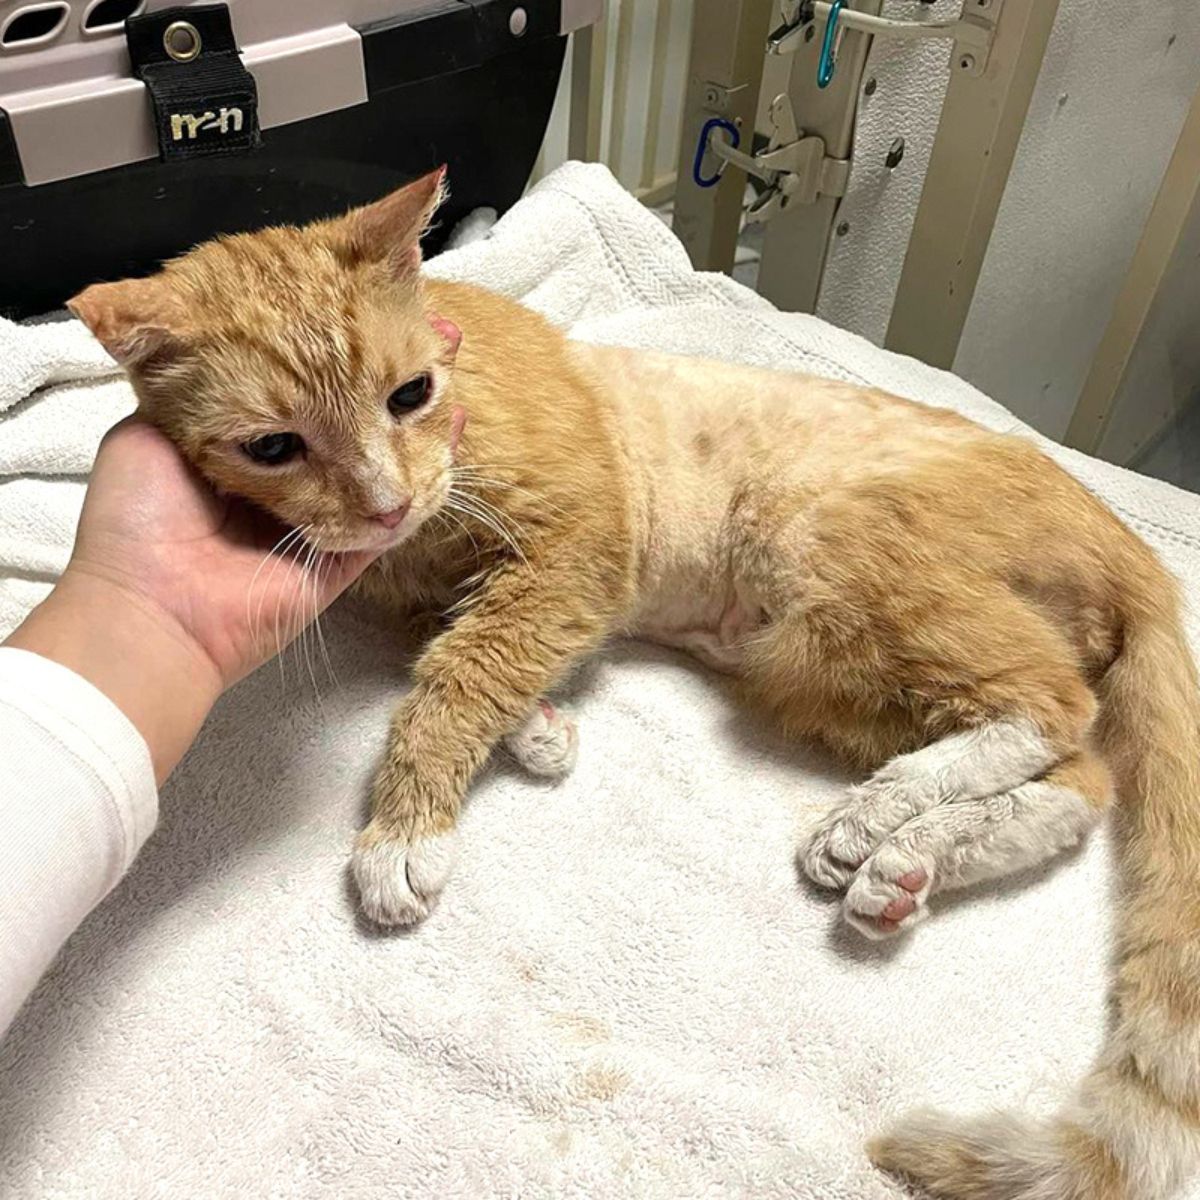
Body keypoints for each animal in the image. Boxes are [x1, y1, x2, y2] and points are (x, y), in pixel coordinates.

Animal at [72, 169, 1200, 1200]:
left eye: (409, 395)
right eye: (274, 447)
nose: (387, 505)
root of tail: (1127, 542)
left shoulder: (581, 547)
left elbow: (464, 669)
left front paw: (407, 825)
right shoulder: (439, 583)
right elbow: (465, 649)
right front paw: (535, 726)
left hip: (834, 571)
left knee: (1057, 709)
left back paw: (884, 815)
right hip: (820, 672)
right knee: (1082, 781)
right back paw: (904, 861)